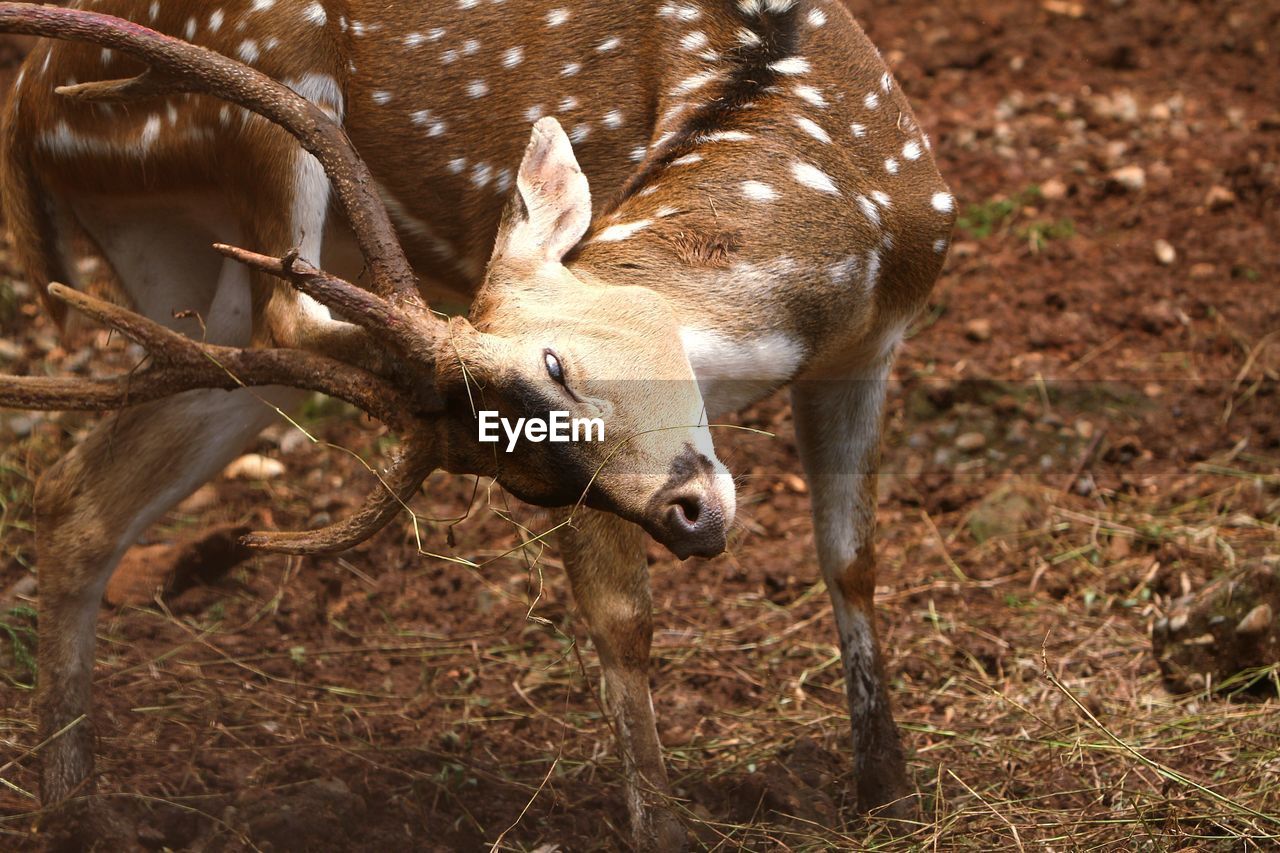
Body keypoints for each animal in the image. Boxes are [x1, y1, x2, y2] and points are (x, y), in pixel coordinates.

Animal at [0, 0, 952, 845]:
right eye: (534, 482)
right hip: (267, 84)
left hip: (189, 273)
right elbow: (621, 619)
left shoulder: (875, 346)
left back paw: (76, 809)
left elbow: (852, 561)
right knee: (284, 314)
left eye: (556, 364)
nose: (687, 516)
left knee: (80, 490)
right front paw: (667, 830)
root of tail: (28, 106)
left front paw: (891, 795)